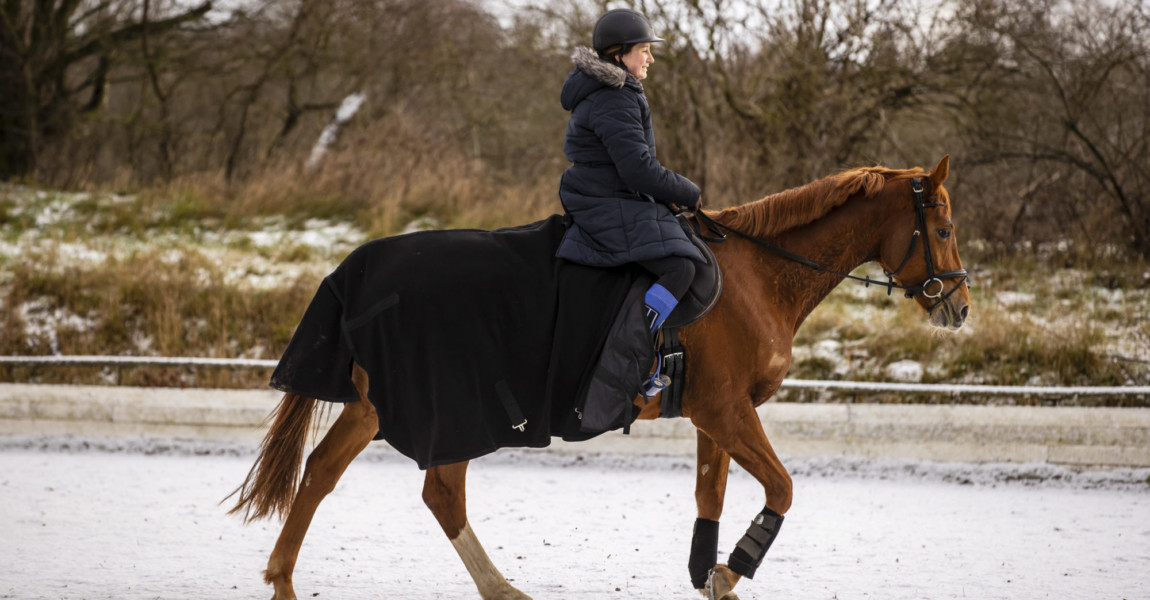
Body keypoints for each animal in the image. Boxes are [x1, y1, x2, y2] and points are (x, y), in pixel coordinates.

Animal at [231, 155, 970, 597]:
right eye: (942, 225)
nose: (960, 306)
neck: (757, 276)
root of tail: (359, 269)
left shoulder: (714, 416)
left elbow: (710, 495)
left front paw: (709, 572)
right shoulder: (728, 410)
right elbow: (782, 489)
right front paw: (733, 567)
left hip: (374, 405)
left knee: (322, 473)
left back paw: (282, 578)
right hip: (449, 406)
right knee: (439, 494)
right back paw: (501, 589)